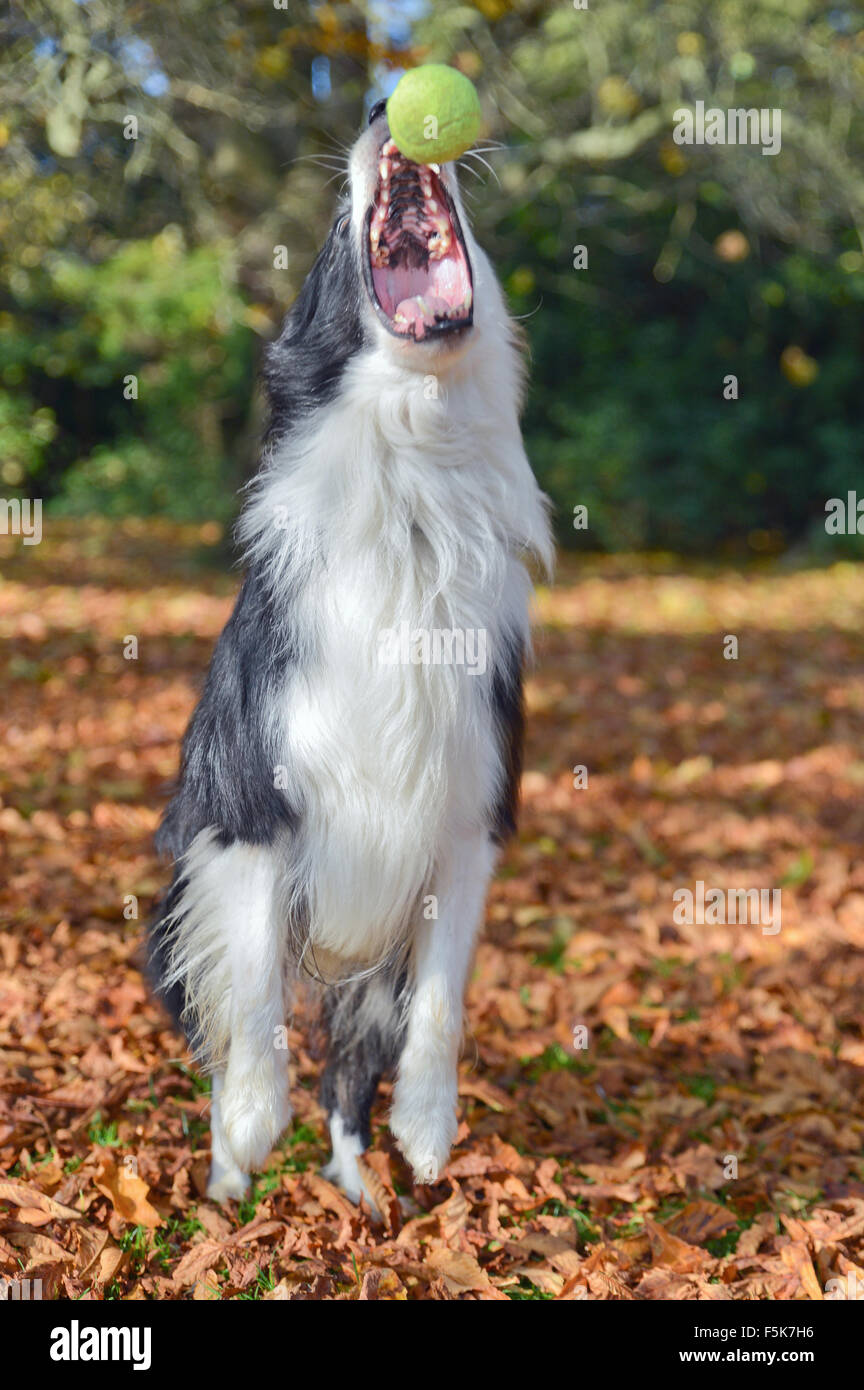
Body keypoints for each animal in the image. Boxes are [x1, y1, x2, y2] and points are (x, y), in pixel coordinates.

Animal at [147, 97, 555, 1206]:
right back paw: (227, 1188)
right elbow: (250, 998)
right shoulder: (247, 811)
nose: (383, 104)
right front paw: (249, 1134)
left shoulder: (466, 823)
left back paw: (361, 1183)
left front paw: (427, 1129)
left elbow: (440, 1006)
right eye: (335, 240)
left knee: (347, 1072)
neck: (414, 485)